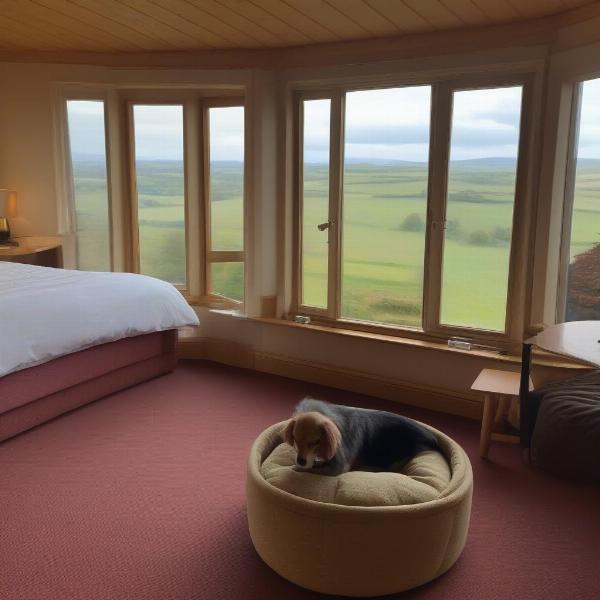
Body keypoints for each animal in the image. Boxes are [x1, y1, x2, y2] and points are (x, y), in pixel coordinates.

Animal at [282, 396, 440, 476]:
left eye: (315, 442)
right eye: (295, 440)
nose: (301, 460)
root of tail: (432, 438)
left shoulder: (339, 468)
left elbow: (313, 469)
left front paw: (297, 468)